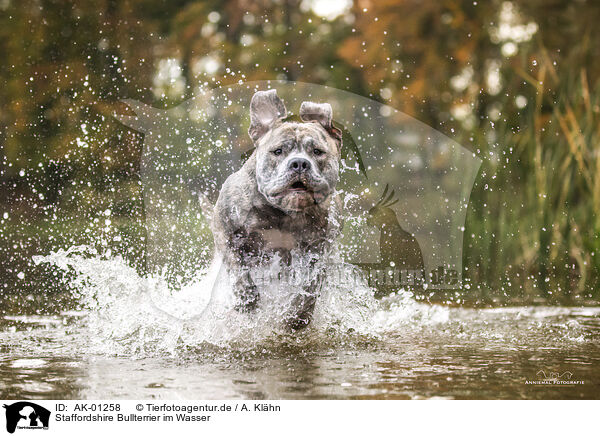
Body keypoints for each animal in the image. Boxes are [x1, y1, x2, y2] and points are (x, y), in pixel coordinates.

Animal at [212, 89, 342, 330]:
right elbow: (237, 269)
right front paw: (247, 299)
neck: (283, 214)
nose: (299, 163)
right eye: (278, 151)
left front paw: (298, 315)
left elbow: (310, 285)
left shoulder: (320, 249)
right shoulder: (224, 229)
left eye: (317, 151)